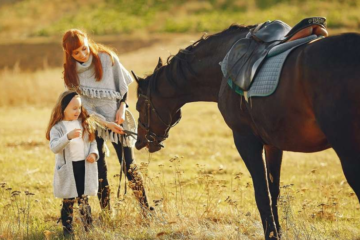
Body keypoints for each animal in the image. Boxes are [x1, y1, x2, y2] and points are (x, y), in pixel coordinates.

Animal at [132, 25, 360, 239]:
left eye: (138, 105)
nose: (139, 141)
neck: (223, 66)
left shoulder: (245, 141)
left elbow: (262, 194)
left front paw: (271, 234)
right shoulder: (272, 145)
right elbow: (274, 192)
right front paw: (278, 232)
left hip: (347, 153)